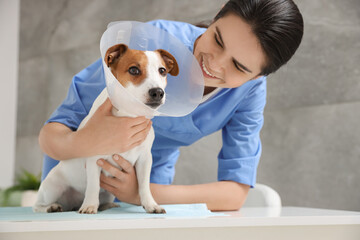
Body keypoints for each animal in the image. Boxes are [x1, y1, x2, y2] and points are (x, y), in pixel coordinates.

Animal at [33, 44, 179, 215]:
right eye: (134, 70)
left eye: (162, 70)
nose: (158, 92)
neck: (128, 114)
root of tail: (72, 203)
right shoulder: (94, 159)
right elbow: (93, 185)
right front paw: (89, 206)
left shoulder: (144, 159)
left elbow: (144, 185)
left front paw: (151, 204)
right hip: (52, 187)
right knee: (37, 205)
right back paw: (51, 207)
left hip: (108, 193)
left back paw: (106, 205)